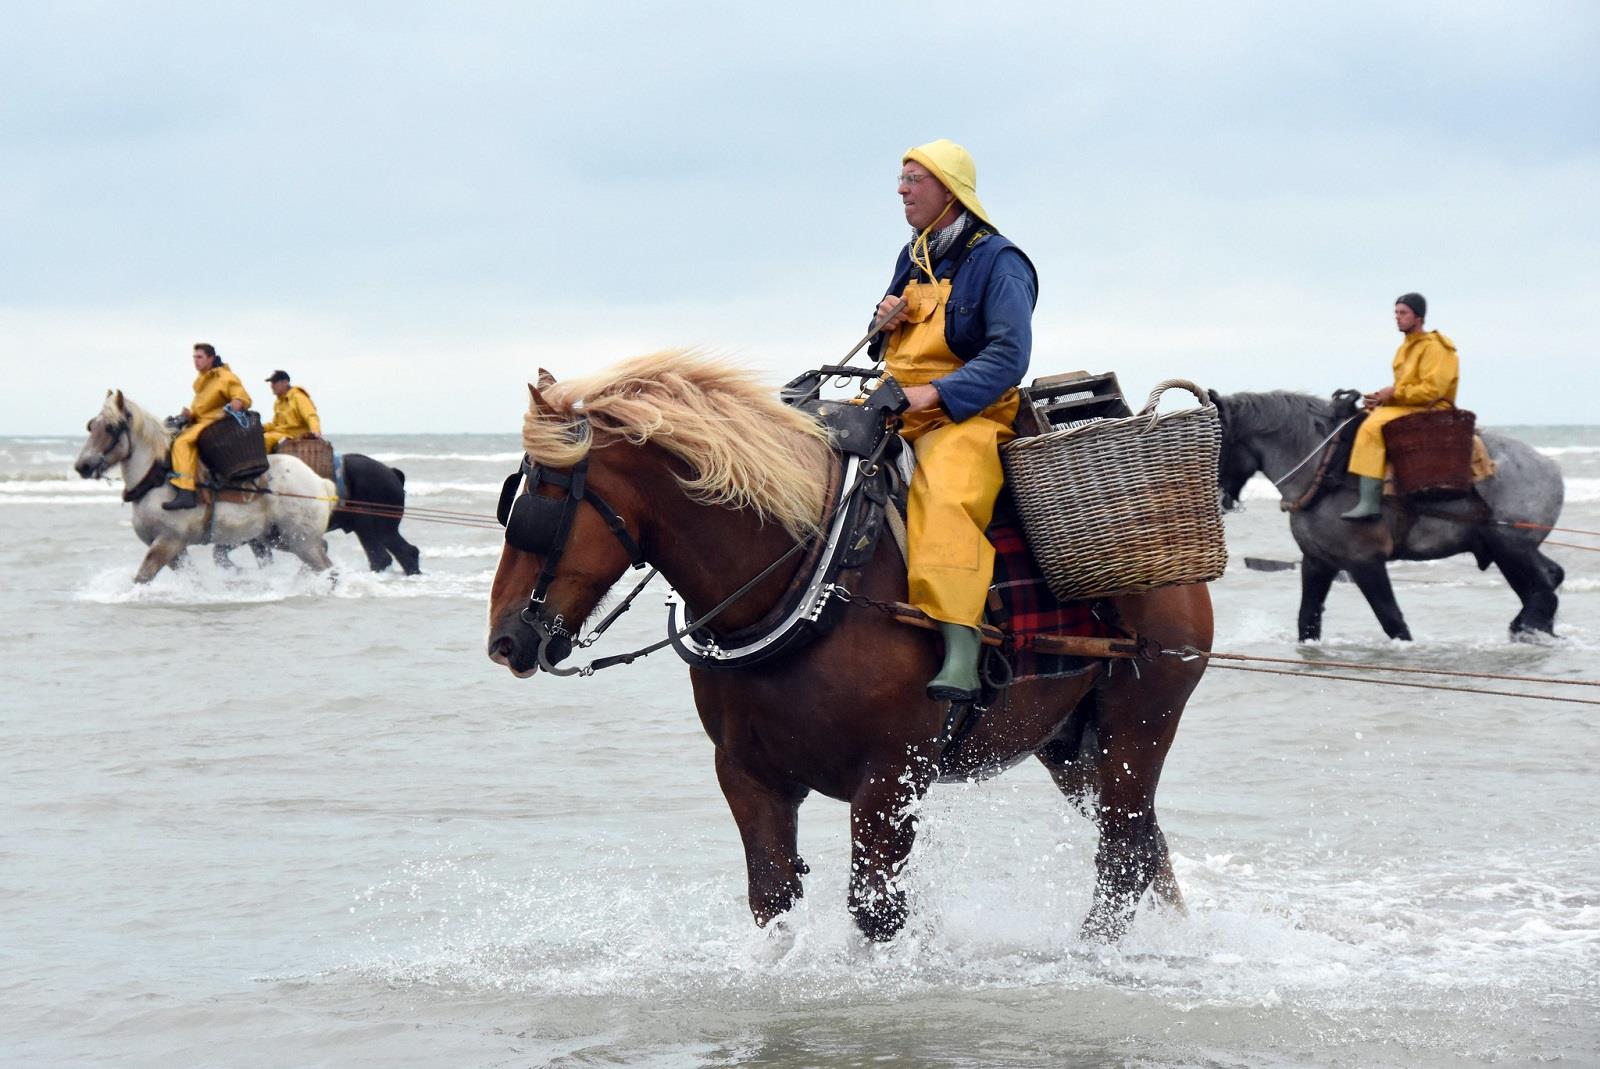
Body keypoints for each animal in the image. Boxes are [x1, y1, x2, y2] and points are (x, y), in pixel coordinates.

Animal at [76, 388, 339, 579]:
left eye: (110, 427)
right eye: (91, 425)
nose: (82, 466)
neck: (156, 481)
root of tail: (319, 481)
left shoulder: (167, 543)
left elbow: (142, 577)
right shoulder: (175, 551)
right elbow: (194, 580)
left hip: (301, 542)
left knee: (329, 568)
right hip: (280, 539)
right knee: (324, 553)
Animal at [486, 352, 1209, 940]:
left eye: (545, 498)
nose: (504, 639)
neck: (813, 577)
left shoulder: (891, 779)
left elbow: (875, 911)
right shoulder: (747, 774)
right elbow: (773, 901)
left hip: (1140, 722)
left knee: (1123, 855)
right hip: (1071, 743)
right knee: (1143, 844)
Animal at [1209, 392, 1561, 643]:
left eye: (1217, 444)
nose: (1218, 496)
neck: (1326, 470)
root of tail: (1550, 467)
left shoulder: (1365, 561)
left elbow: (1392, 620)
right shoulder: (1317, 561)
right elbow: (1307, 619)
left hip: (1510, 547)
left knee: (1542, 593)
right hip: (1513, 549)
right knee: (1551, 579)